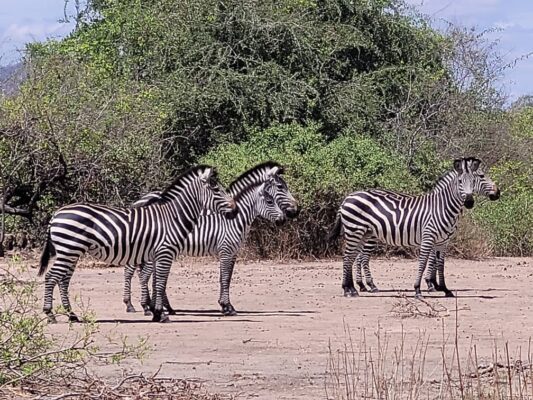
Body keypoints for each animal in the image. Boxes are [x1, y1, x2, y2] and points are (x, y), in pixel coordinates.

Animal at [37, 164, 235, 324]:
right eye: (216, 189)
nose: (234, 210)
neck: (173, 216)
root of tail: (56, 214)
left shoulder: (158, 254)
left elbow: (157, 282)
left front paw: (156, 312)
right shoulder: (165, 252)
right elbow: (160, 282)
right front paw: (160, 314)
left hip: (71, 251)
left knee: (62, 280)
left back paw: (72, 315)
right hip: (69, 249)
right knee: (51, 277)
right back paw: (50, 314)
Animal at [122, 162, 298, 316]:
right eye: (280, 188)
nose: (293, 212)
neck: (235, 219)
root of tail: (139, 201)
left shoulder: (232, 252)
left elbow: (226, 277)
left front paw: (225, 305)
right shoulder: (226, 250)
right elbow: (225, 278)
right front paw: (227, 307)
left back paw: (162, 307)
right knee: (138, 273)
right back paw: (140, 306)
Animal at [328, 158, 498, 298]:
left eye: (475, 179)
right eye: (481, 176)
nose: (498, 193)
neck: (442, 206)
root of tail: (347, 198)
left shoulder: (443, 241)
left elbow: (440, 264)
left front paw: (444, 288)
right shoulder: (429, 236)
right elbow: (423, 262)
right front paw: (421, 288)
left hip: (363, 233)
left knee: (353, 257)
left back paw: (355, 288)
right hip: (355, 231)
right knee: (349, 257)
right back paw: (350, 289)